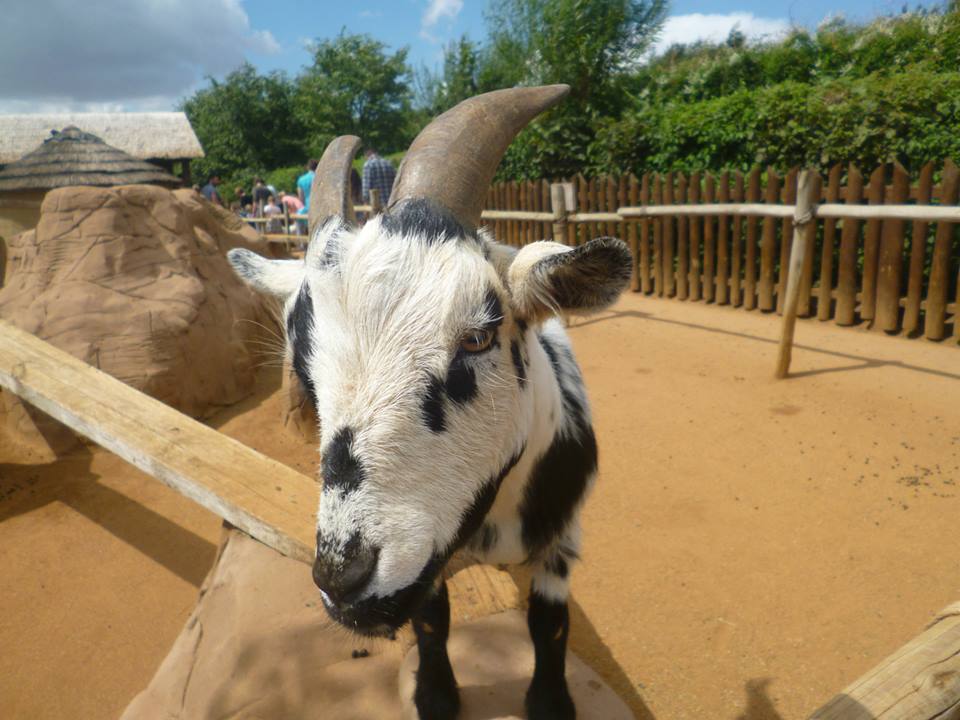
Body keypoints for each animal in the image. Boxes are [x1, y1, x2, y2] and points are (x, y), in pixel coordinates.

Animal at [228, 85, 632, 720]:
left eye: (478, 336)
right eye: (303, 363)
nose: (342, 579)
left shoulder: (562, 541)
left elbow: (550, 624)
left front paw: (550, 702)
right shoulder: (430, 565)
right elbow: (432, 620)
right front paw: (436, 695)